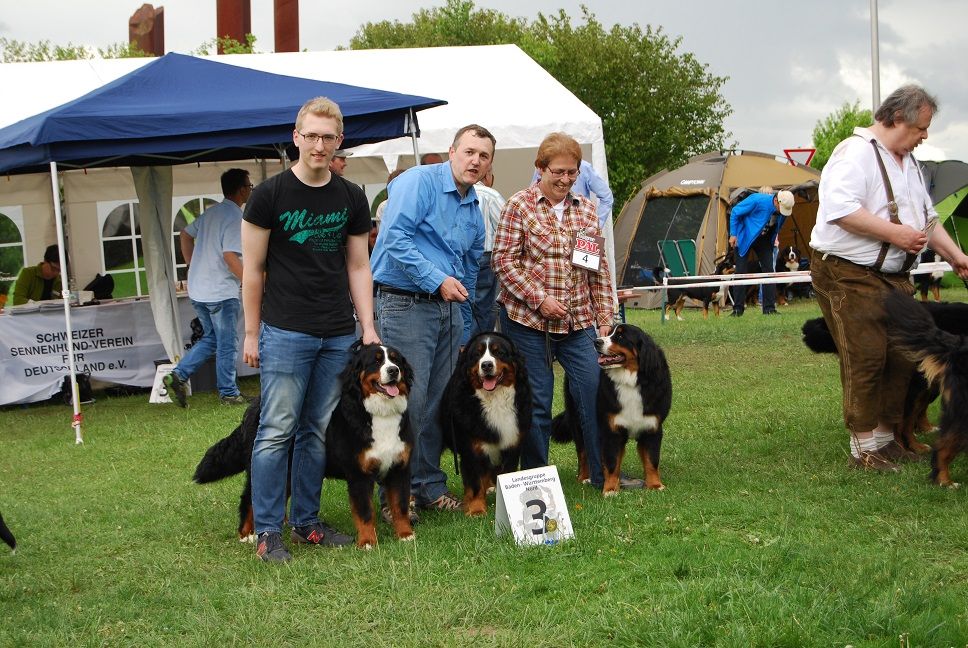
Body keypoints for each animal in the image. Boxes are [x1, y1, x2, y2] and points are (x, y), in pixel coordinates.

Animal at [194, 342, 416, 548]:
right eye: (376, 361)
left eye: (395, 360)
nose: (393, 370)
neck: (380, 414)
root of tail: (254, 405)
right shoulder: (359, 474)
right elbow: (365, 512)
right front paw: (368, 541)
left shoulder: (399, 468)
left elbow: (400, 505)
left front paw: (405, 535)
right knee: (249, 498)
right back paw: (246, 534)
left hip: (287, 468)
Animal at [442, 332, 532, 512]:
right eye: (477, 354)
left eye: (499, 353)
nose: (487, 365)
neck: (495, 400)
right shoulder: (473, 448)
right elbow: (476, 481)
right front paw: (476, 509)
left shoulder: (512, 446)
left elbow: (504, 474)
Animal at [548, 322, 668, 494]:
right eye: (610, 333)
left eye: (620, 336)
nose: (596, 341)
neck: (630, 380)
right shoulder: (611, 429)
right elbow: (612, 462)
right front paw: (610, 489)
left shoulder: (652, 427)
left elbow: (652, 460)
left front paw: (655, 485)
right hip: (578, 420)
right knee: (583, 452)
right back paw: (584, 477)